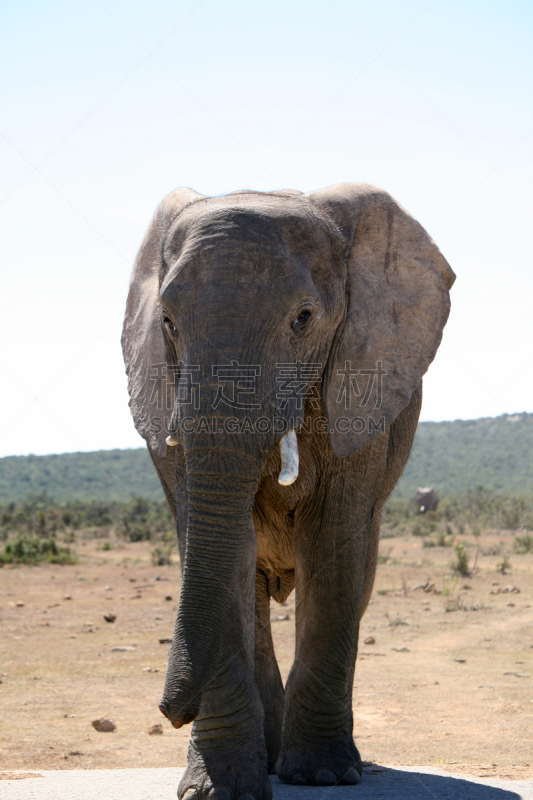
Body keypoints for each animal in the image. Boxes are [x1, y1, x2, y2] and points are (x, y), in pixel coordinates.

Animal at [121, 183, 454, 800]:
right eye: (169, 322)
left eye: (304, 319)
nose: (170, 712)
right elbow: (220, 552)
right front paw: (218, 789)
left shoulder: (359, 388)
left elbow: (334, 546)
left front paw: (323, 775)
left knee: (357, 575)